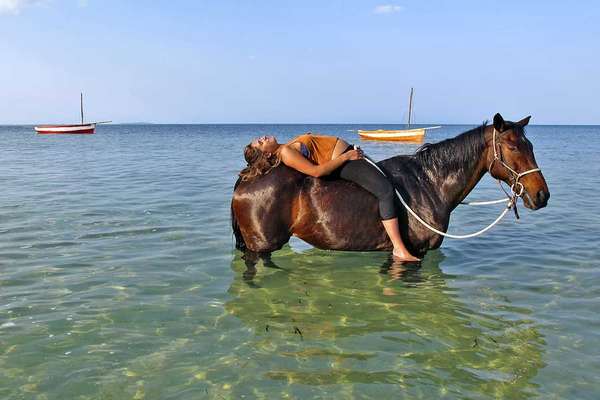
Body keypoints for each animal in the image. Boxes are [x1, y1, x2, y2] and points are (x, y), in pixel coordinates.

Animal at [230, 113, 548, 260]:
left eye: (530, 145)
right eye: (512, 147)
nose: (541, 194)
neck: (430, 183)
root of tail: (247, 177)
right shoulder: (420, 252)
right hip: (261, 247)